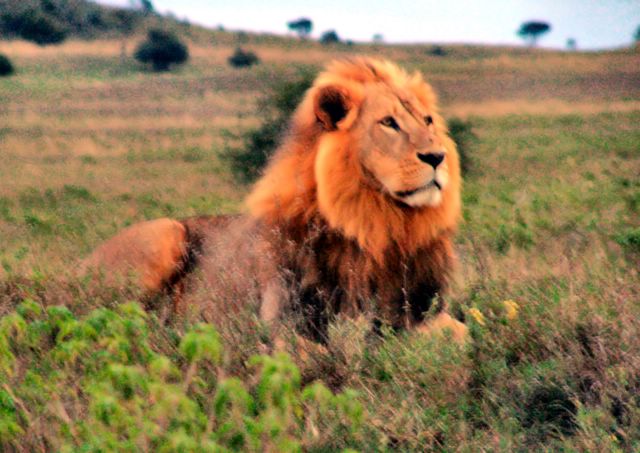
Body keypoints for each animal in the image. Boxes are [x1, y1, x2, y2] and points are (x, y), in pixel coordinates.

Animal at [84, 57, 464, 342]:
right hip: (165, 234)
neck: (380, 226)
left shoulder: (421, 308)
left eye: (428, 120)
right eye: (388, 123)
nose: (437, 156)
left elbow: (461, 333)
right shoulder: (290, 321)